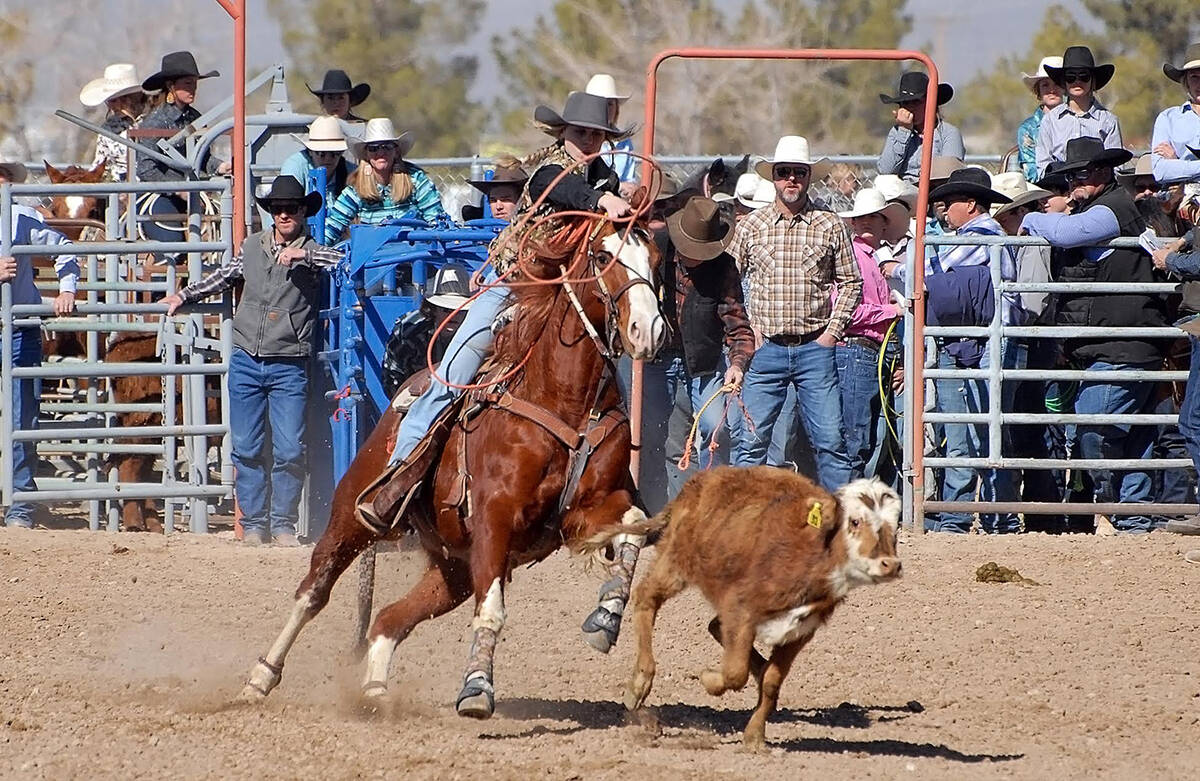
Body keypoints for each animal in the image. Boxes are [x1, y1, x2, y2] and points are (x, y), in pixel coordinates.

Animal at [234, 215, 667, 719]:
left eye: (655, 259)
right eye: (601, 256)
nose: (649, 330)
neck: (563, 398)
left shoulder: (583, 513)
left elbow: (633, 525)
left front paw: (606, 617)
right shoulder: (495, 519)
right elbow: (492, 611)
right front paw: (477, 689)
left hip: (452, 569)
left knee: (388, 619)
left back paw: (375, 693)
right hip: (353, 515)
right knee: (314, 591)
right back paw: (260, 678)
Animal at [580, 467, 902, 748]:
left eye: (895, 527)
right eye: (855, 521)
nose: (890, 564)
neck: (810, 551)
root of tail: (695, 484)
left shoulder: (799, 631)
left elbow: (772, 681)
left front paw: (755, 736)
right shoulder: (741, 608)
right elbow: (735, 673)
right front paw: (710, 680)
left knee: (716, 627)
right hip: (674, 562)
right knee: (646, 599)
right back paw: (639, 684)